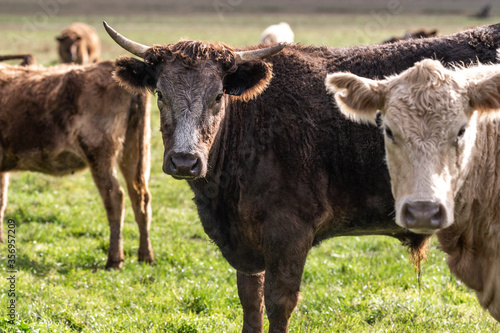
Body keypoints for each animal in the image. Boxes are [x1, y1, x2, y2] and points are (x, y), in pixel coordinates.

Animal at [0, 61, 152, 270]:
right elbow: (2, 200)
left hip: (99, 152)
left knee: (115, 197)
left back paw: (114, 259)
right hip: (133, 150)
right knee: (140, 196)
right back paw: (146, 256)